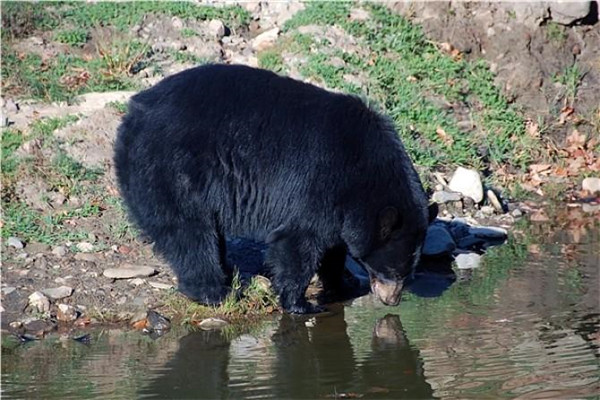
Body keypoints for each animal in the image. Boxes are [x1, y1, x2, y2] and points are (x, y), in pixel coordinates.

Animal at [115, 63, 434, 312]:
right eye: (392, 270)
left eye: (409, 272)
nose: (392, 300)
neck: (365, 171)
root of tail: (133, 111)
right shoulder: (319, 180)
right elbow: (298, 241)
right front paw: (300, 303)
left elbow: (333, 245)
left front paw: (342, 281)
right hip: (173, 168)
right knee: (188, 231)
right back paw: (213, 292)